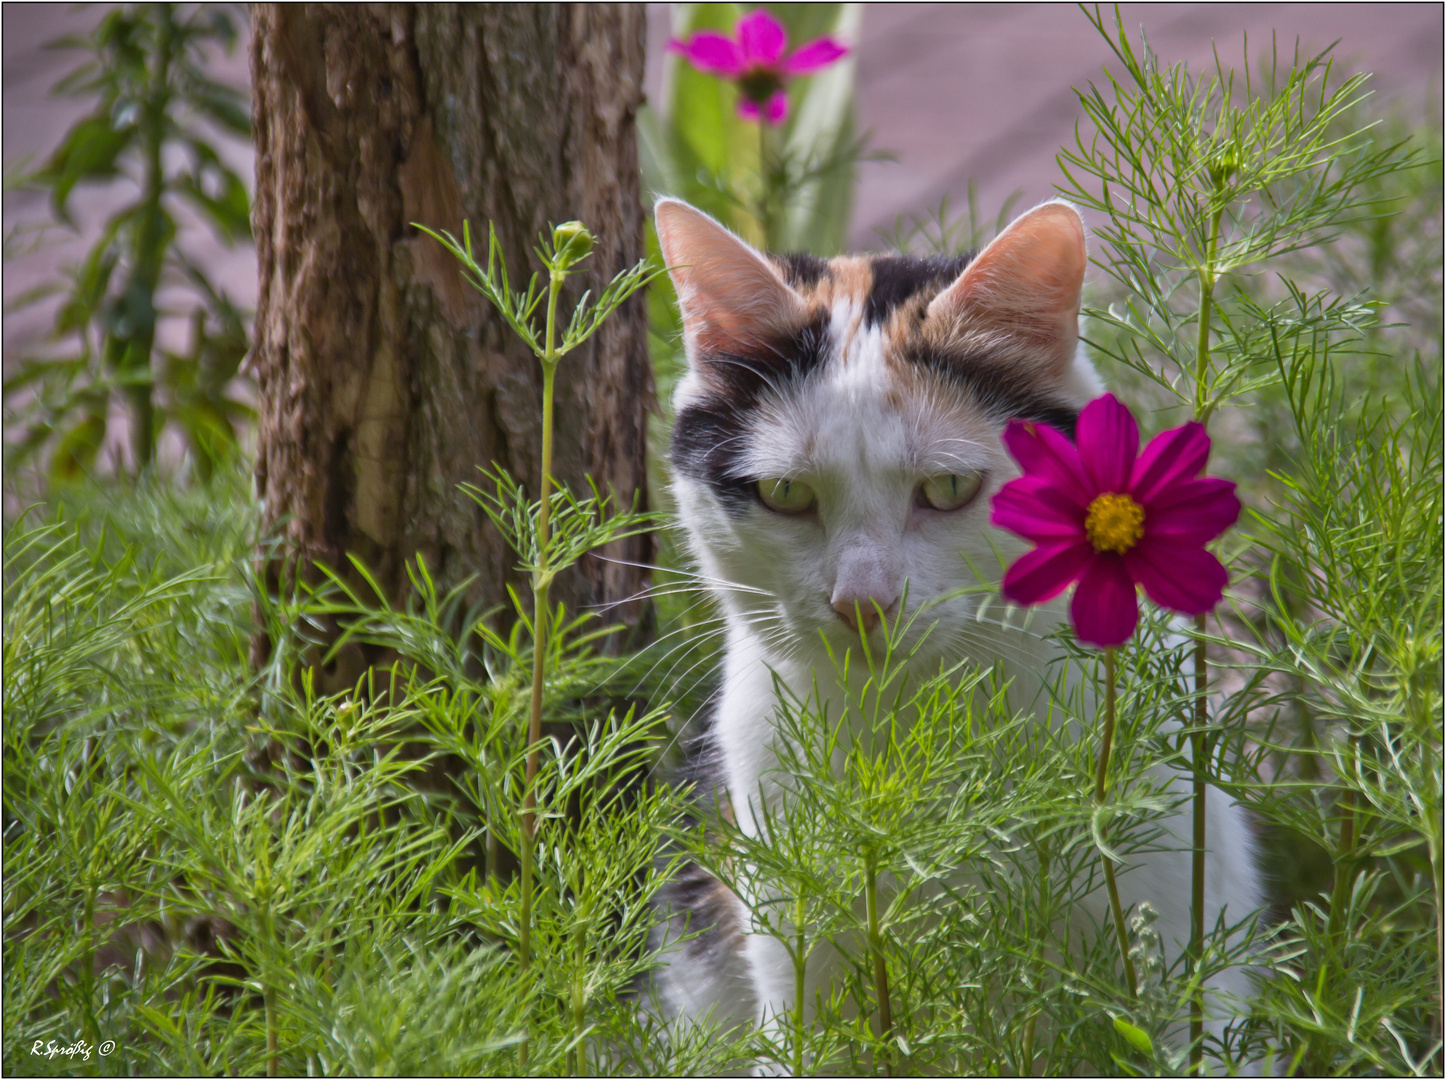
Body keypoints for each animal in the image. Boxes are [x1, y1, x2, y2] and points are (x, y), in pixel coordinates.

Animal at [647, 196, 1266, 1064]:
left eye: (947, 487)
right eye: (784, 494)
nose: (861, 601)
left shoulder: (1183, 961)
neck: (918, 724)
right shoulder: (801, 979)